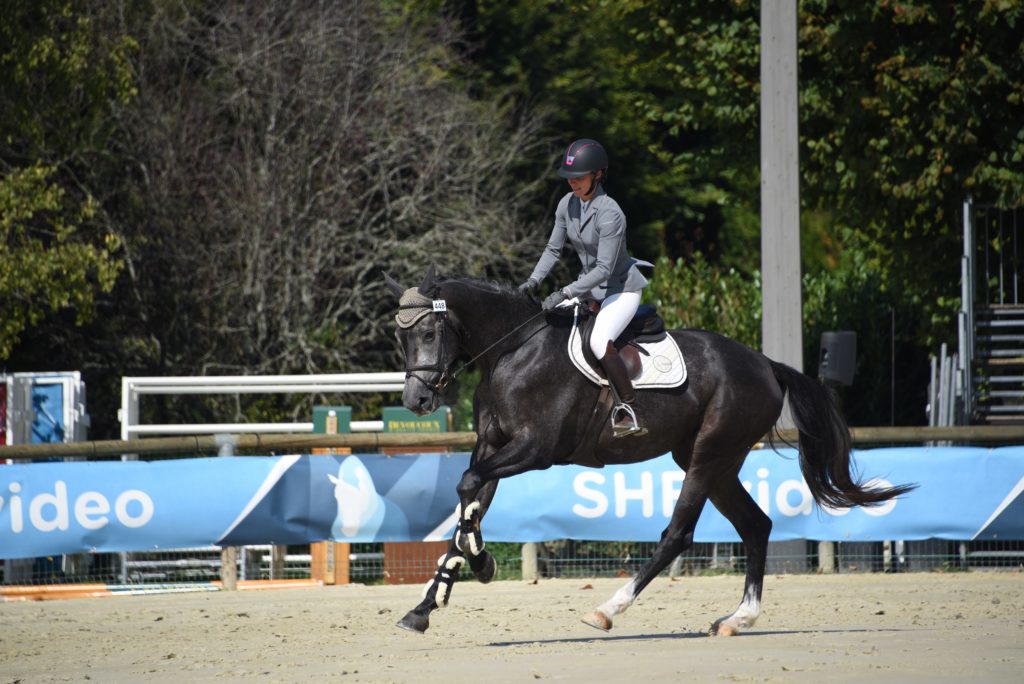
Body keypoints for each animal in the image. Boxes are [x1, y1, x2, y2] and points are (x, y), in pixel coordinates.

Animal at [385, 266, 913, 634]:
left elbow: (467, 490)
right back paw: (736, 619)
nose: (416, 401)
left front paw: (480, 564)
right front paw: (427, 605)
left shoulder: (534, 449)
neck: (513, 352)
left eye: (428, 333)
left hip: (707, 457)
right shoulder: (492, 448)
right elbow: (468, 501)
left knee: (678, 535)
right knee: (756, 526)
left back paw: (607, 610)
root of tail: (766, 364)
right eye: (400, 335)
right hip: (715, 462)